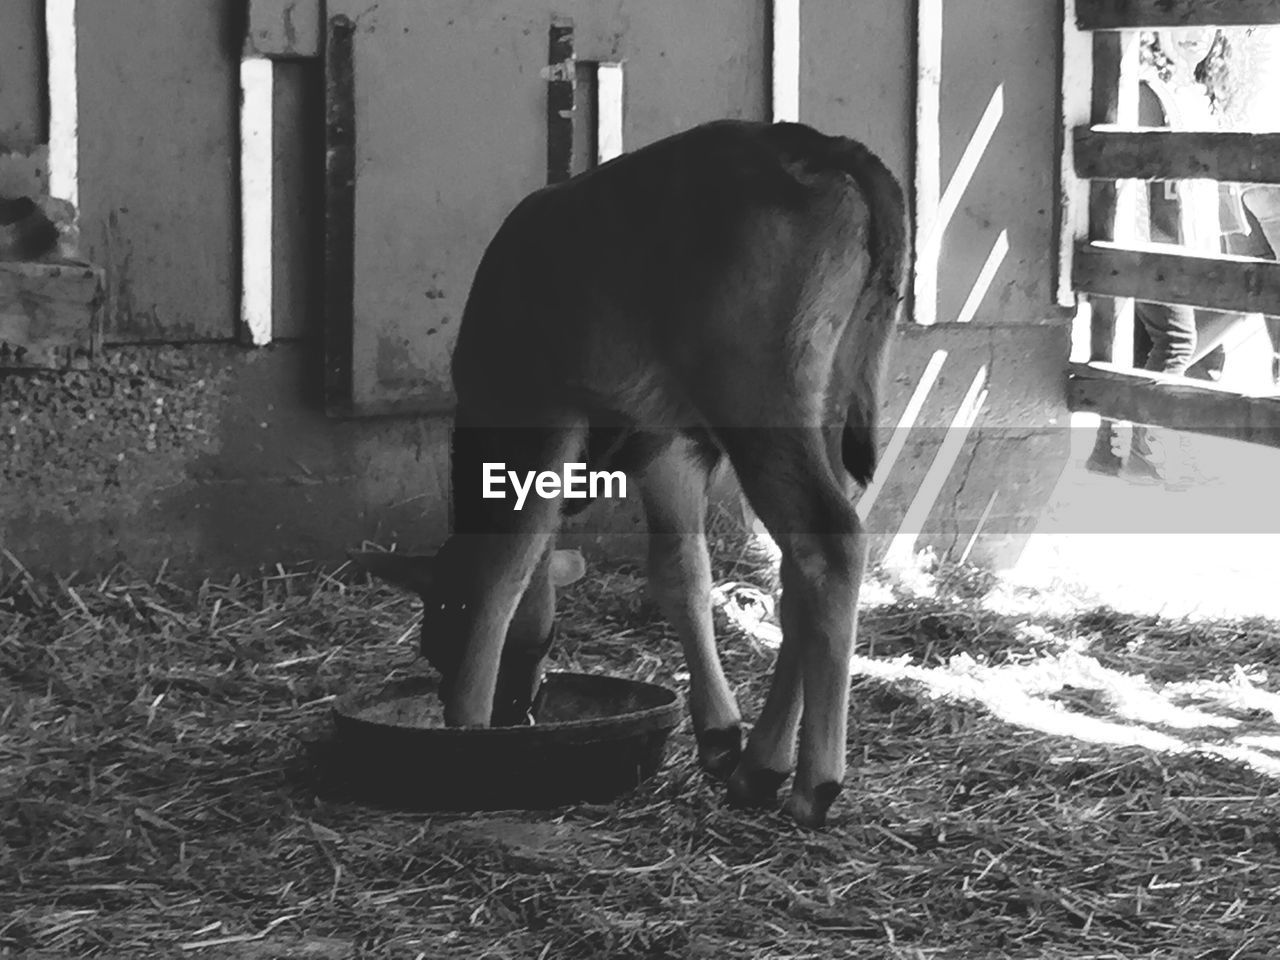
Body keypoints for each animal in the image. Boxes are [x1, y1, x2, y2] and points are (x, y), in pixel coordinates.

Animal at [353, 118, 911, 829]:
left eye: (438, 637)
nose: (516, 710)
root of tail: (819, 144)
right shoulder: (667, 444)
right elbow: (680, 572)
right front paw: (718, 731)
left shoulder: (544, 408)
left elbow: (506, 561)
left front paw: (465, 724)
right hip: (825, 395)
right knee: (799, 570)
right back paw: (760, 763)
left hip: (756, 389)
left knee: (827, 541)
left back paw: (813, 781)